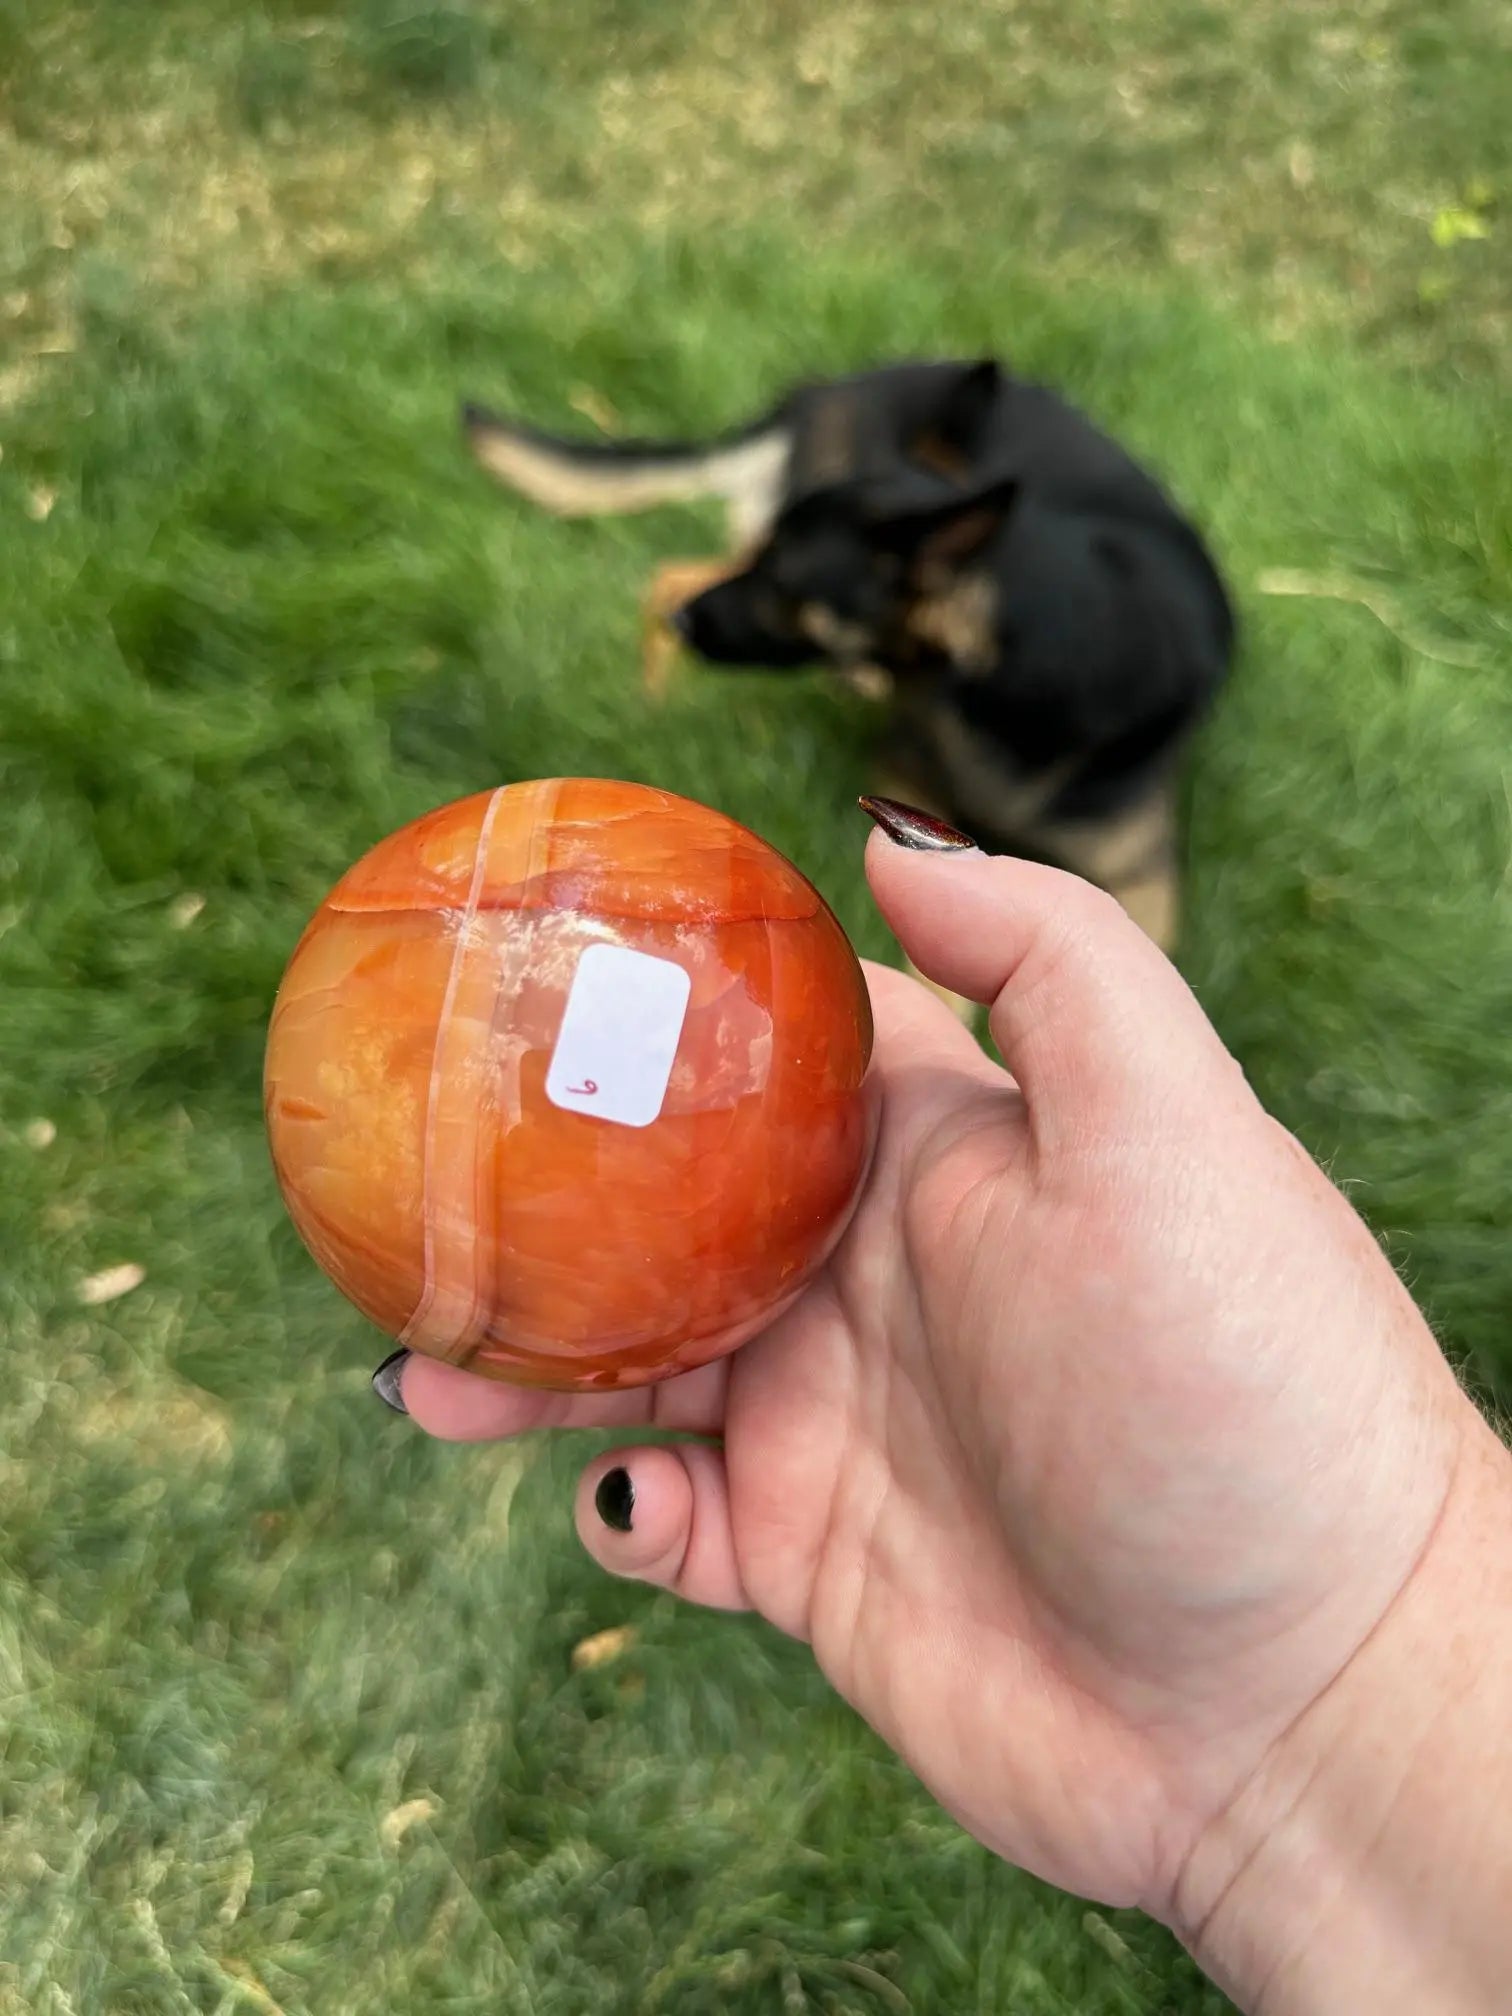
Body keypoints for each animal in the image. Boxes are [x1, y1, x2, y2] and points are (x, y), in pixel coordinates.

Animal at [465, 356, 1241, 951]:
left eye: (785, 582)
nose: (689, 626)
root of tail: (831, 385)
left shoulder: (1145, 885)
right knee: (666, 578)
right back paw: (655, 699)